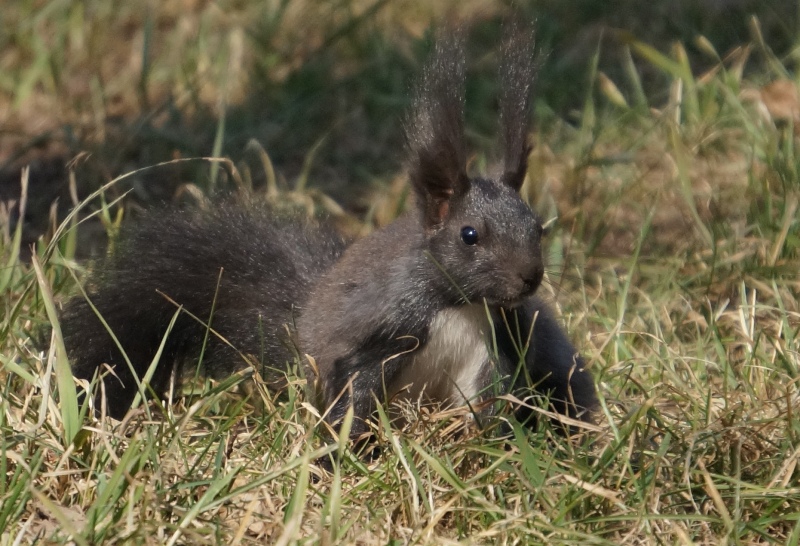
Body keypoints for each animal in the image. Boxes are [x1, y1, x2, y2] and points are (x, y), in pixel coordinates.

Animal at [62, 27, 596, 440]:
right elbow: (357, 389)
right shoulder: (390, 329)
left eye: (538, 227)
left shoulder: (496, 343)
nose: (529, 278)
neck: (459, 305)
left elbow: (493, 400)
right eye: (469, 235)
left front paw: (499, 449)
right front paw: (341, 452)